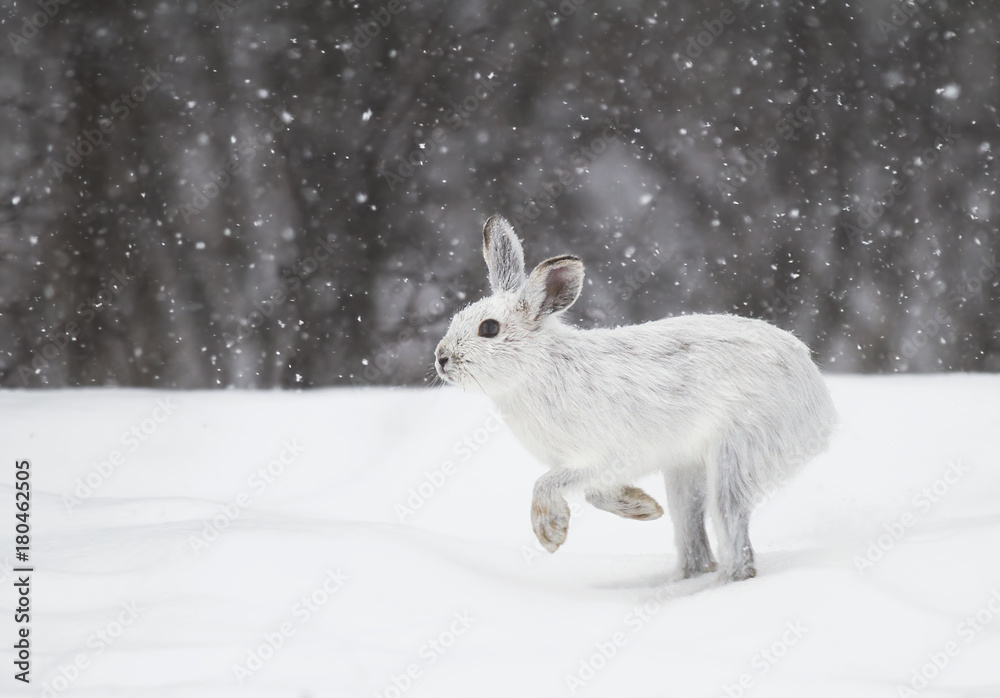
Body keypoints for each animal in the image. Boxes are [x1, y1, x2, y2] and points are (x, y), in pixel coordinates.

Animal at [434, 215, 836, 582]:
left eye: (489, 328)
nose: (441, 357)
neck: (537, 366)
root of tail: (819, 402)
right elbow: (594, 494)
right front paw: (643, 508)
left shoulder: (601, 457)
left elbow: (549, 484)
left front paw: (551, 533)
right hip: (686, 469)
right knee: (691, 529)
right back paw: (687, 576)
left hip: (736, 455)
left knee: (731, 525)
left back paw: (723, 584)